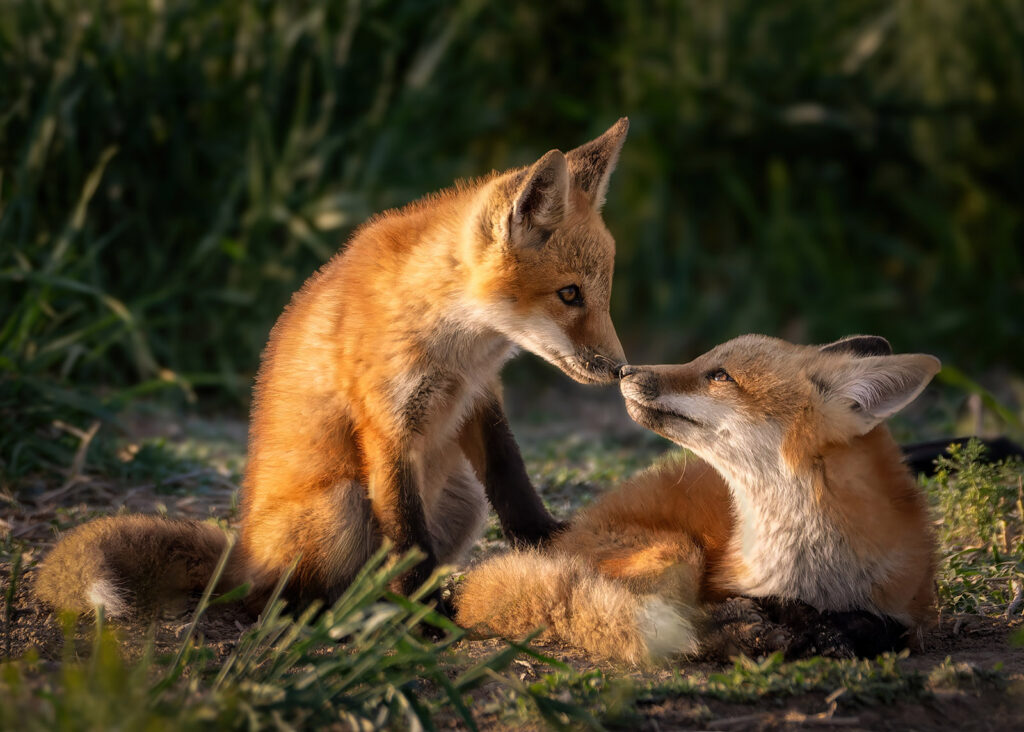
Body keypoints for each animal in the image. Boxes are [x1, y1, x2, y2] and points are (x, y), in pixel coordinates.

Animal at [34, 119, 631, 617]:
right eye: (569, 294)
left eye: (603, 295)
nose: (621, 372)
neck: (459, 344)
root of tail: (243, 556)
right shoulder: (387, 426)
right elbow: (408, 538)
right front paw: (426, 616)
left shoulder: (480, 397)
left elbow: (512, 478)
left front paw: (546, 540)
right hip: (343, 502)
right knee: (281, 596)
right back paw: (333, 613)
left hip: (461, 495)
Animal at [454, 334, 940, 665]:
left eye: (720, 375)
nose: (625, 371)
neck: (808, 564)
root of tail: (559, 539)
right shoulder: (724, 583)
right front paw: (782, 627)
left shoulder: (909, 604)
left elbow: (879, 628)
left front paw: (825, 630)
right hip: (677, 550)